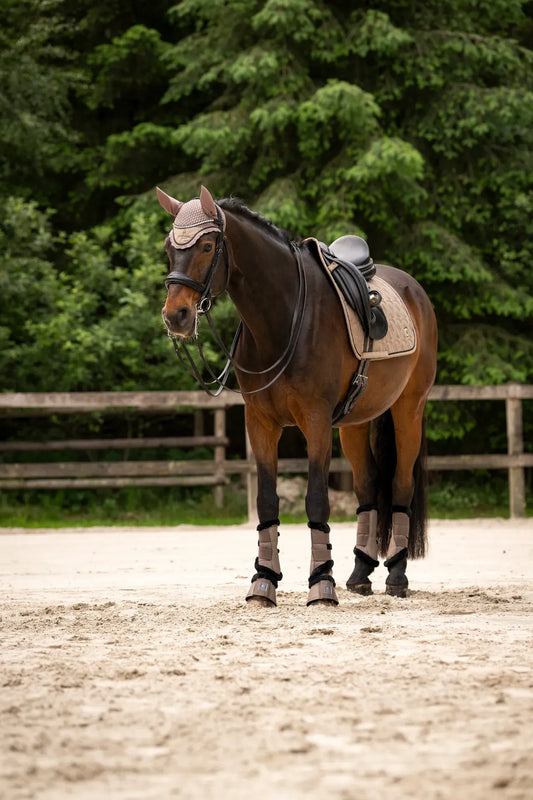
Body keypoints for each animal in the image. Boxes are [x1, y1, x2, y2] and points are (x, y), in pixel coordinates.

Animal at [157, 185, 438, 606]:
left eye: (206, 245)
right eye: (169, 248)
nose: (176, 316)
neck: (284, 316)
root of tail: (412, 288)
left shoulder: (315, 420)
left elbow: (316, 499)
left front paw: (321, 583)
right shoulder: (260, 422)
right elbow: (267, 500)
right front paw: (264, 581)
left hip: (409, 409)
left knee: (401, 483)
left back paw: (396, 575)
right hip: (355, 423)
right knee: (368, 485)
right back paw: (360, 573)